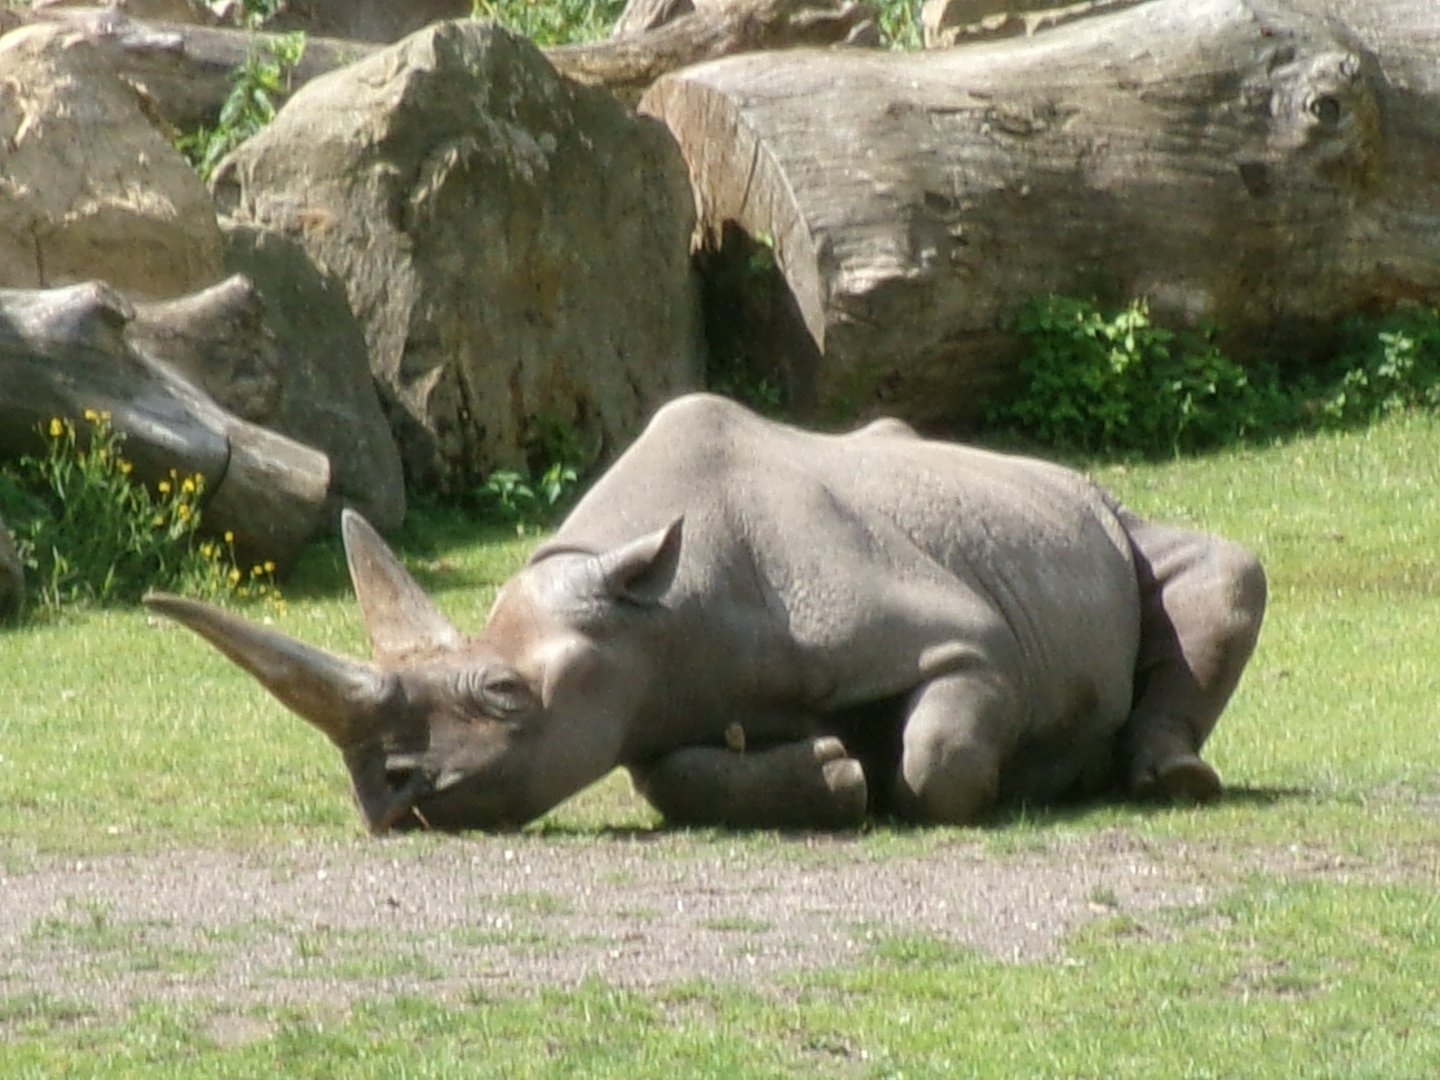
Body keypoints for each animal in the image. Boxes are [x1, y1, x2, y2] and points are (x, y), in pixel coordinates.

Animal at [145, 394, 1266, 833]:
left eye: (505, 694)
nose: (384, 796)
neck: (657, 604)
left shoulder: (965, 639)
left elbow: (939, 752)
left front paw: (996, 780)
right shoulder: (642, 698)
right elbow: (679, 778)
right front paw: (833, 775)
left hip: (1100, 510)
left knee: (1228, 568)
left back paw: (1162, 778)